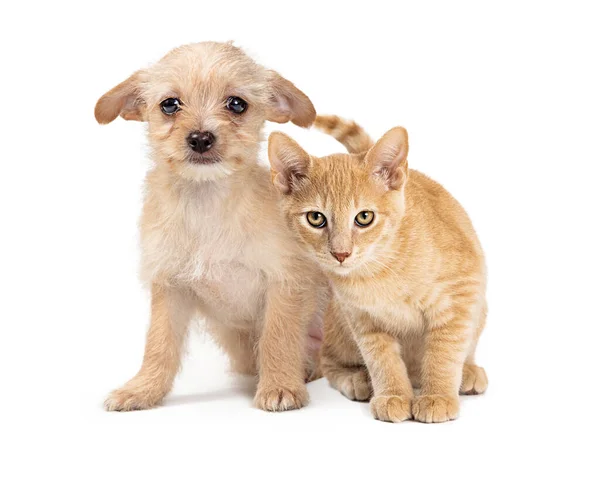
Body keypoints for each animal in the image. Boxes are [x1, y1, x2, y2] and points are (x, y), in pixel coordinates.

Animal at [95, 42, 328, 412]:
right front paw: (143, 389)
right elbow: (159, 344)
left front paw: (279, 386)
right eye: (170, 105)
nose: (201, 138)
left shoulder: (285, 281)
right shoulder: (170, 287)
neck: (207, 203)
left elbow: (278, 337)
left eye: (236, 103)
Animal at [268, 116, 488, 424]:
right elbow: (382, 359)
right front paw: (393, 395)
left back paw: (467, 372)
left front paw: (437, 395)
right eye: (315, 218)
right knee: (328, 360)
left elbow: (445, 349)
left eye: (364, 217)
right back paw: (357, 379)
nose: (341, 253)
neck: (377, 270)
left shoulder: (461, 293)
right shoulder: (362, 318)